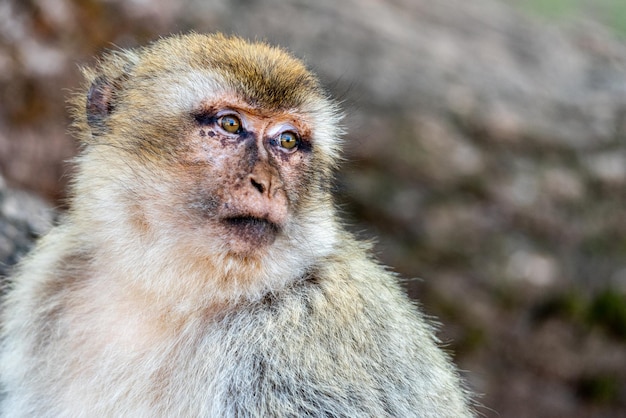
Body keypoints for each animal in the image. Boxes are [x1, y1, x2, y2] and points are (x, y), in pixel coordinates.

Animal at [0, 34, 470, 416]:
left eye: (287, 141)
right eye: (229, 123)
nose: (267, 184)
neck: (168, 290)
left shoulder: (297, 348)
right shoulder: (51, 283)